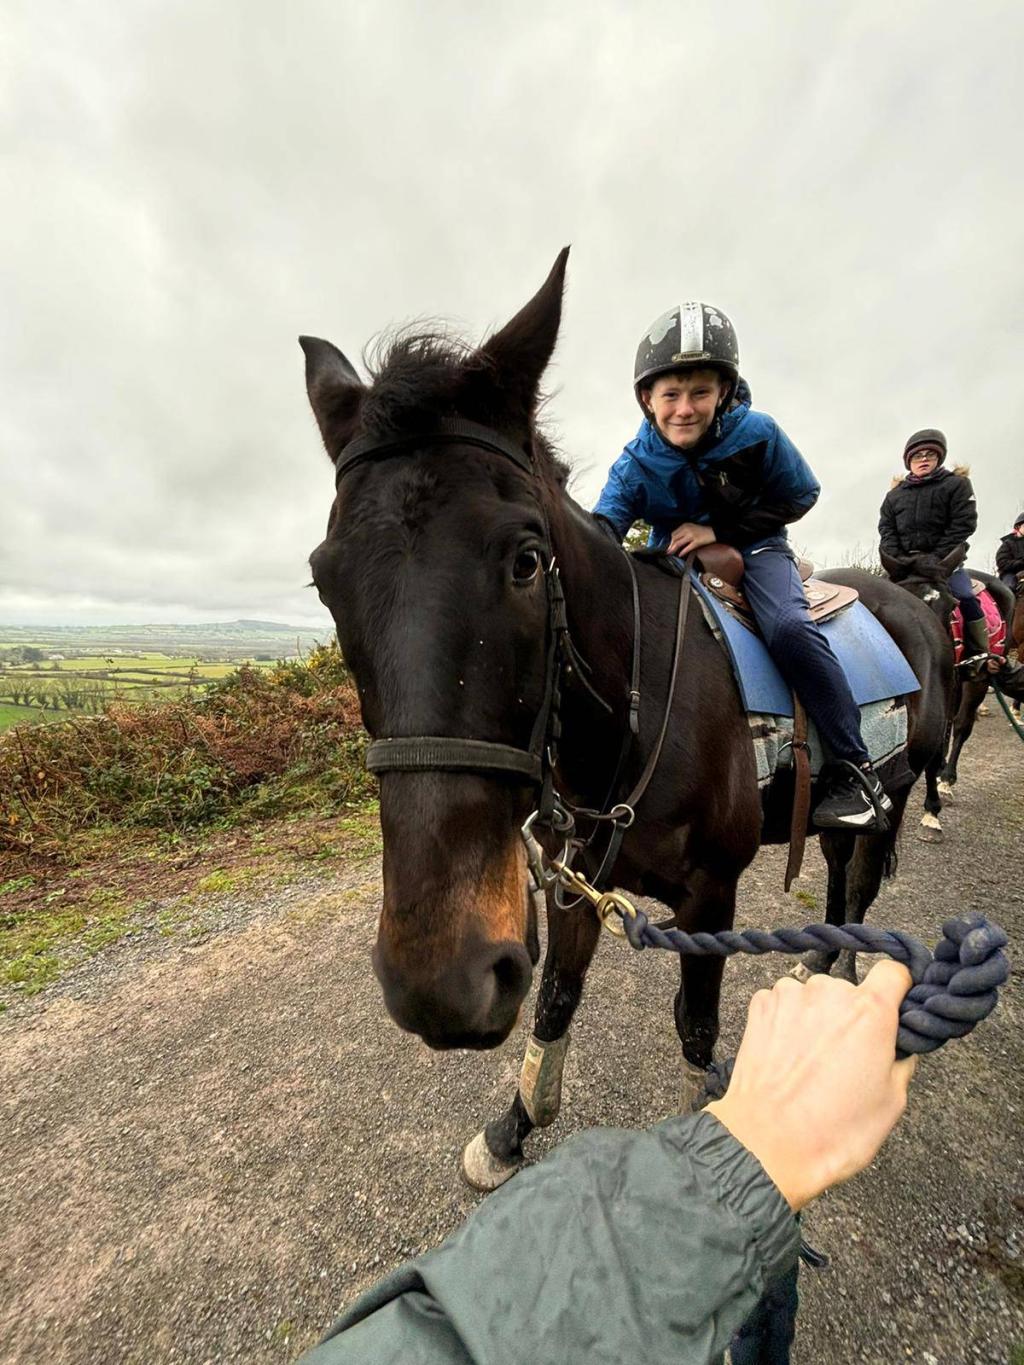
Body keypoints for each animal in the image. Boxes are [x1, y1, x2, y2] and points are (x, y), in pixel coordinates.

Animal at [303, 251, 955, 1190]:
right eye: (325, 577)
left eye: (527, 560)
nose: (441, 980)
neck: (635, 718)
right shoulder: (575, 880)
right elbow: (553, 1005)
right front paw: (511, 1129)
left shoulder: (712, 896)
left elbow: (696, 1026)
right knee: (839, 871)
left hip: (893, 790)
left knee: (863, 878)